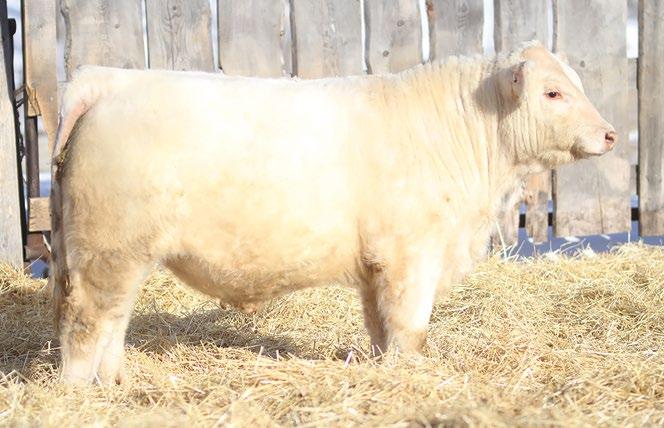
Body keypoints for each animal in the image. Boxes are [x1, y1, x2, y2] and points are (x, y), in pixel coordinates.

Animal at [49, 41, 616, 384]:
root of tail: (108, 79)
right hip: (108, 247)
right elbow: (410, 326)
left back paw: (114, 383)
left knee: (115, 319)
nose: (610, 134)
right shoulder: (412, 255)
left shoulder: (376, 263)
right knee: (86, 320)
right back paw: (80, 393)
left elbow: (380, 326)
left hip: (122, 253)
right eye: (552, 92)